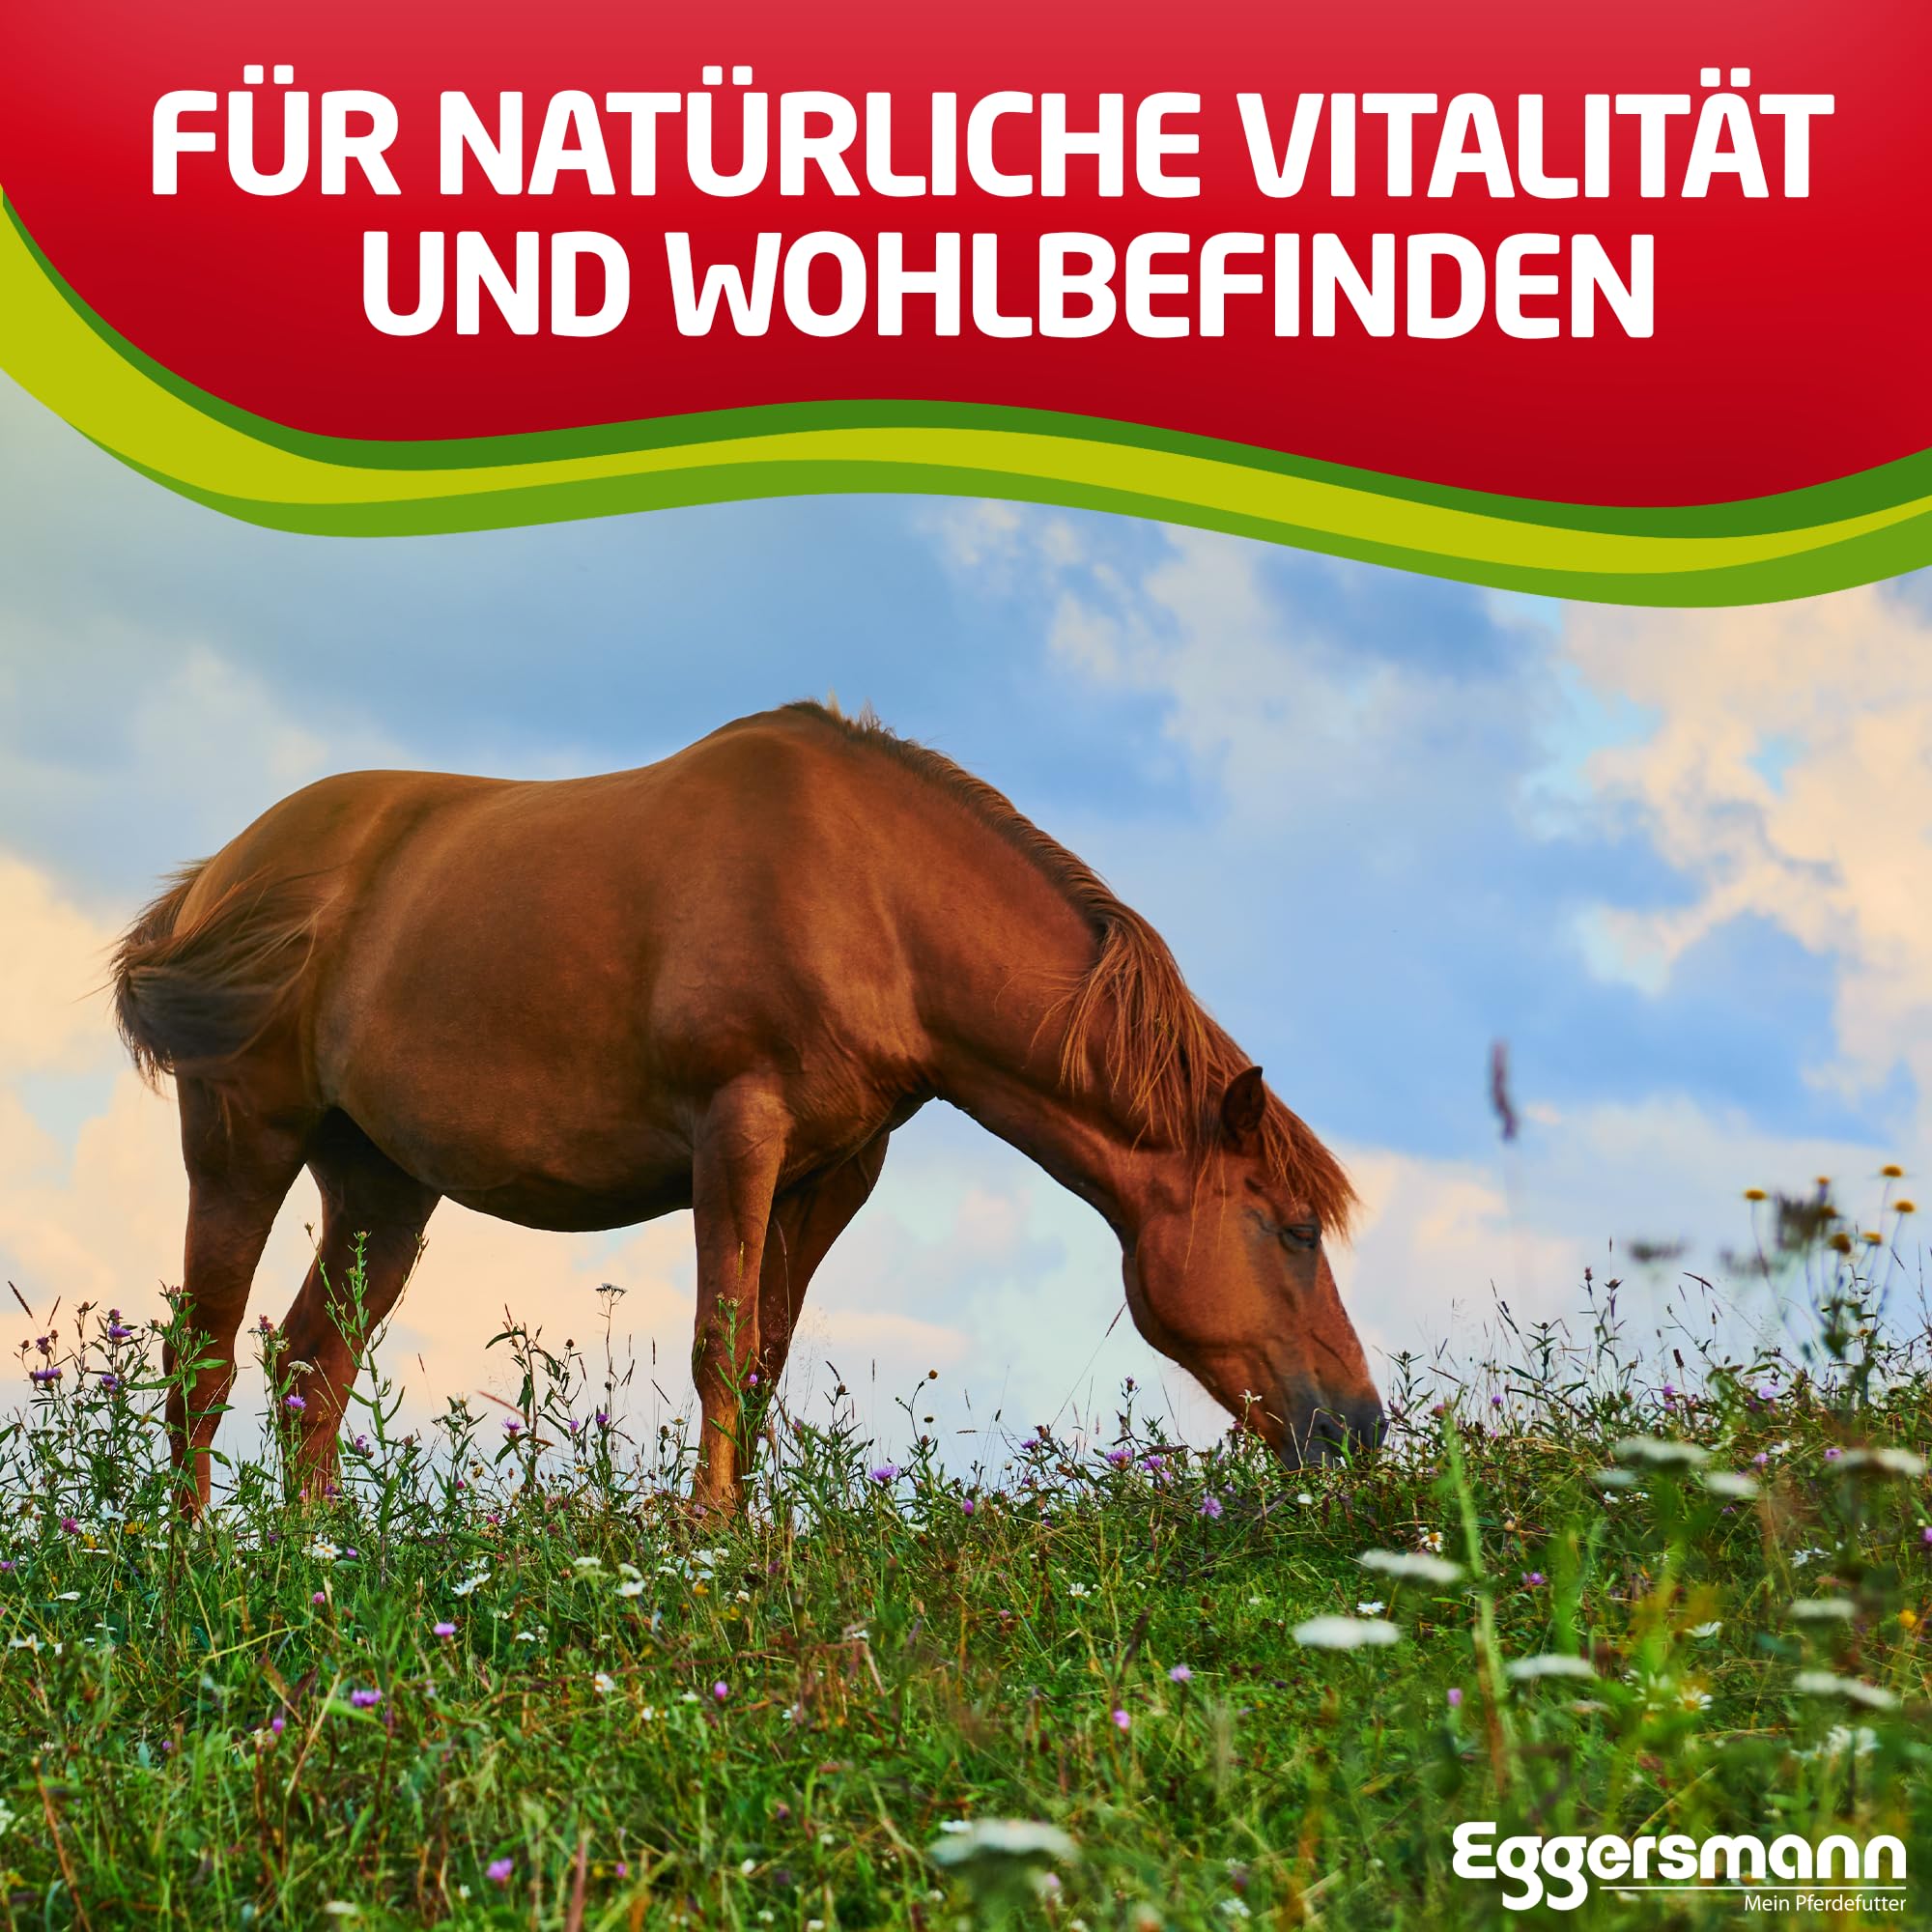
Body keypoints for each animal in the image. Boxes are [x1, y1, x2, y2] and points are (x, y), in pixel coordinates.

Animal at [110, 700, 1382, 1511]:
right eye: (1291, 1228)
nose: (1360, 1425)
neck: (870, 898)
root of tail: (220, 877)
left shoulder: (833, 1169)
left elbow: (765, 1356)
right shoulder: (738, 1131)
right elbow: (719, 1344)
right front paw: (706, 1538)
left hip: (382, 1185)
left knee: (308, 1371)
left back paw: (318, 1566)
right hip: (243, 1141)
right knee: (201, 1357)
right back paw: (192, 1567)